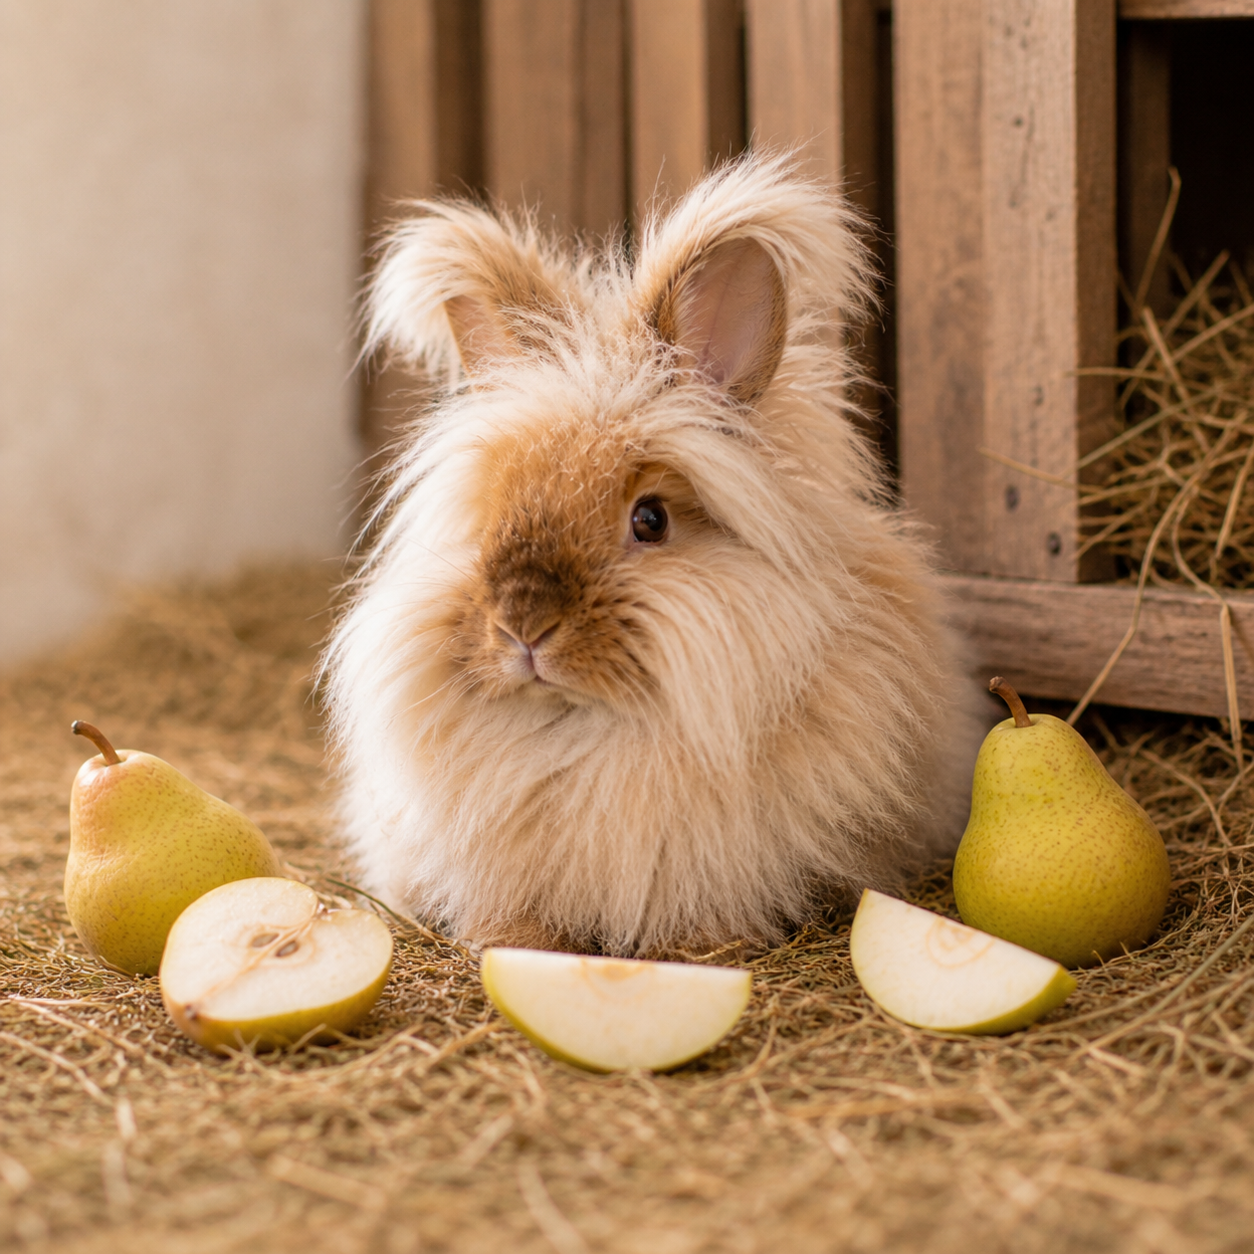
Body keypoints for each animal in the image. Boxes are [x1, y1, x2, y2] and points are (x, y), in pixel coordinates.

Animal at [323, 152, 987, 957]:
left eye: (651, 520)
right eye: (487, 522)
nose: (523, 628)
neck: (582, 731)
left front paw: (691, 952)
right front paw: (510, 942)